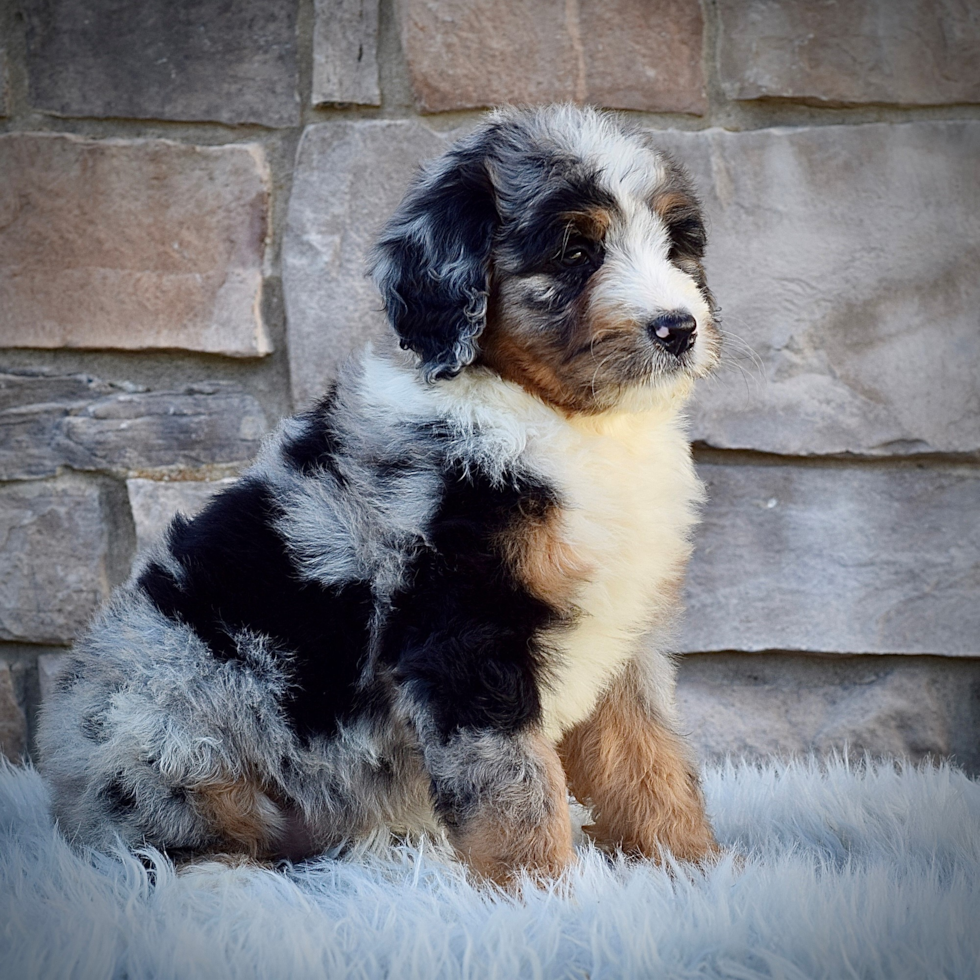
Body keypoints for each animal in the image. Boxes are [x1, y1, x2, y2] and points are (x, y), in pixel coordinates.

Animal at [38, 103, 724, 884]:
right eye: (575, 250)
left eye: (676, 245)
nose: (679, 329)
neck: (563, 421)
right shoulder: (463, 634)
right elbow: (515, 786)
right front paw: (538, 894)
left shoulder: (623, 636)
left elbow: (652, 760)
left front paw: (696, 868)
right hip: (172, 711)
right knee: (162, 842)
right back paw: (225, 878)